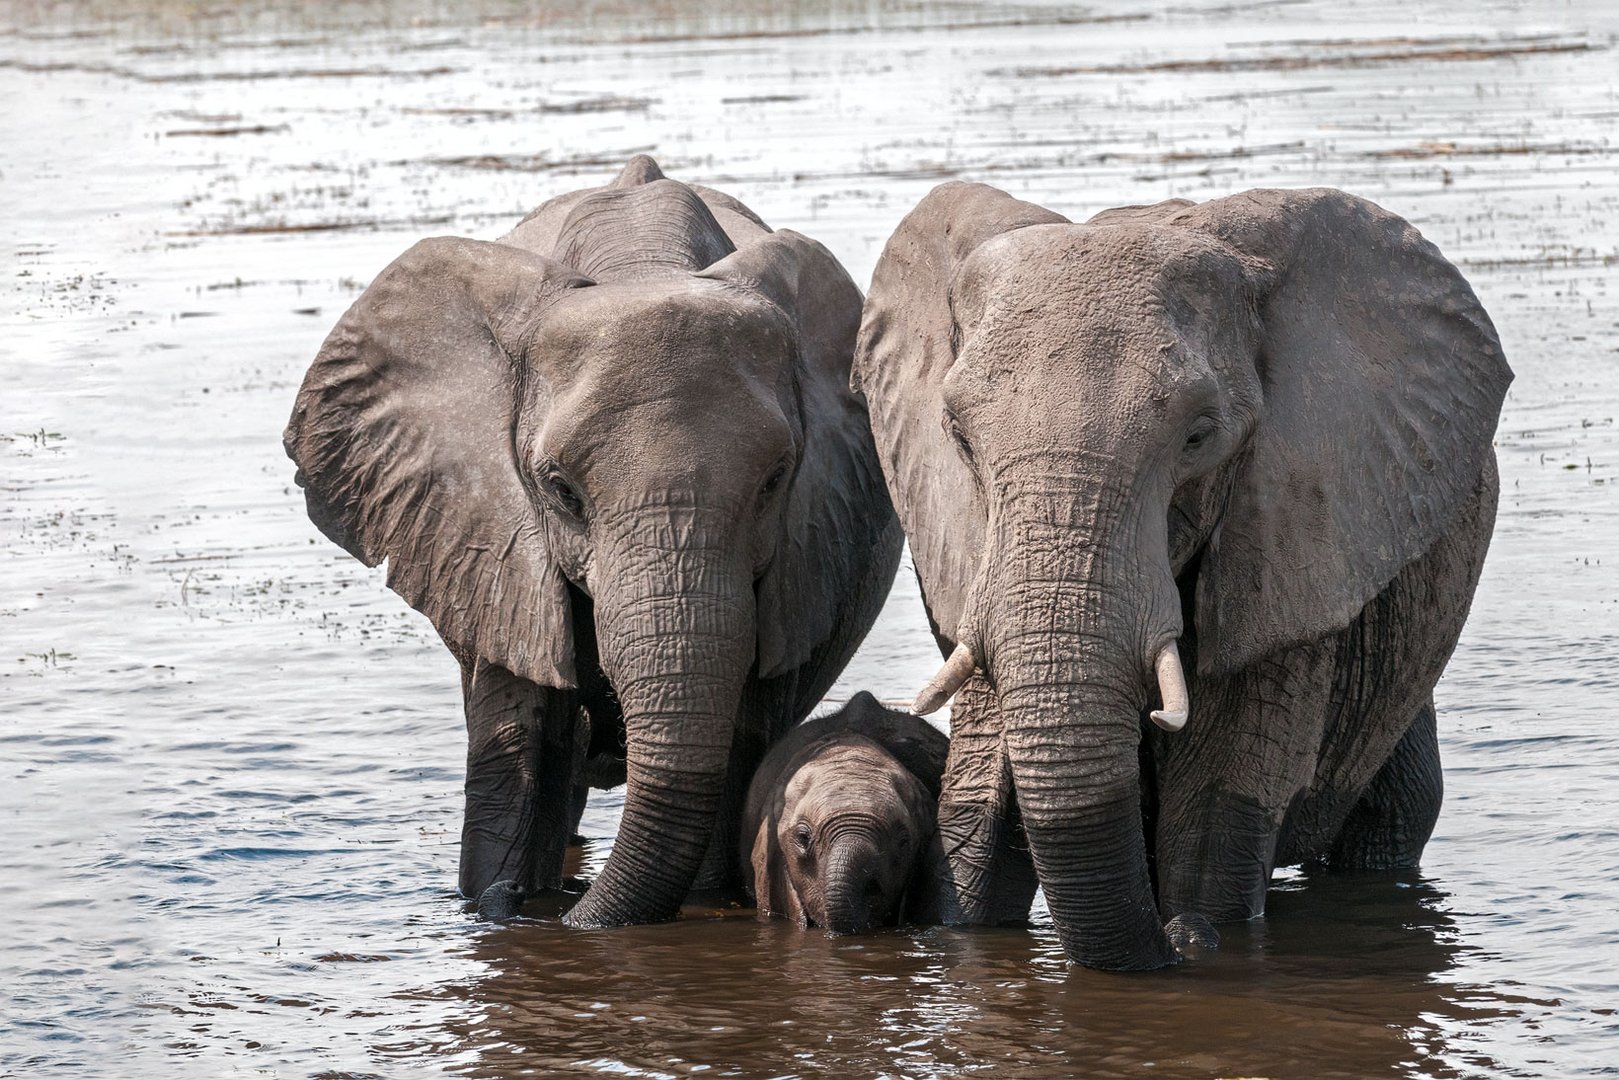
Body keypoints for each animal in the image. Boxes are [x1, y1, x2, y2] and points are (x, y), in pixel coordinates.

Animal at [284, 156, 906, 932]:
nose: (525, 911)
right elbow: (524, 750)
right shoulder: (492, 543)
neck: (640, 263)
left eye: (773, 482)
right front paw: (499, 888)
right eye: (561, 491)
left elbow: (736, 745)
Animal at [854, 179, 1508, 971]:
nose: (1181, 941)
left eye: (1199, 436)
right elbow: (983, 800)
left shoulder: (1295, 533)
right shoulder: (967, 553)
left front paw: (1202, 927)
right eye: (958, 436)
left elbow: (1216, 807)